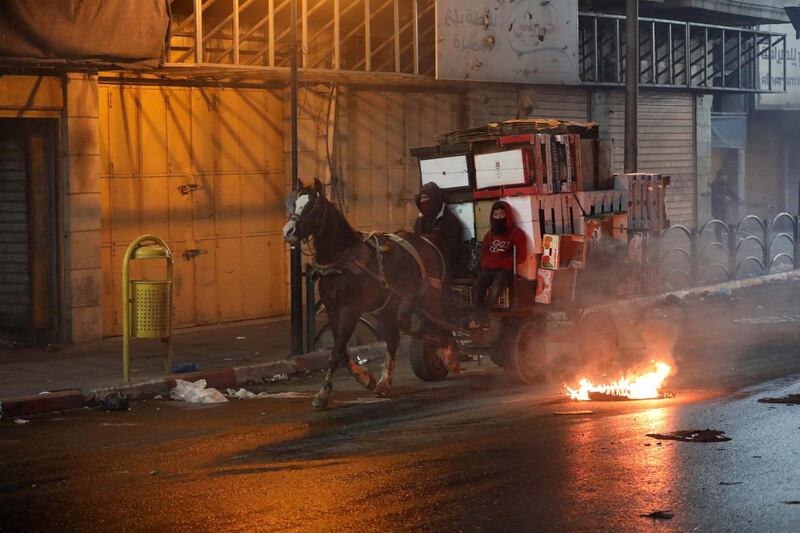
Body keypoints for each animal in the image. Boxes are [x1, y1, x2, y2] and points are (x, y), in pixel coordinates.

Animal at [282, 179, 456, 408]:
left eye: (313, 207)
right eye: (293, 203)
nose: (288, 231)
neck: (342, 258)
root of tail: (428, 241)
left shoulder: (351, 309)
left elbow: (336, 351)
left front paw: (323, 393)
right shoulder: (332, 309)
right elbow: (340, 350)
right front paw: (365, 378)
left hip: (429, 297)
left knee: (442, 325)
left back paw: (449, 358)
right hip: (391, 304)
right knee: (394, 338)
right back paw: (384, 381)